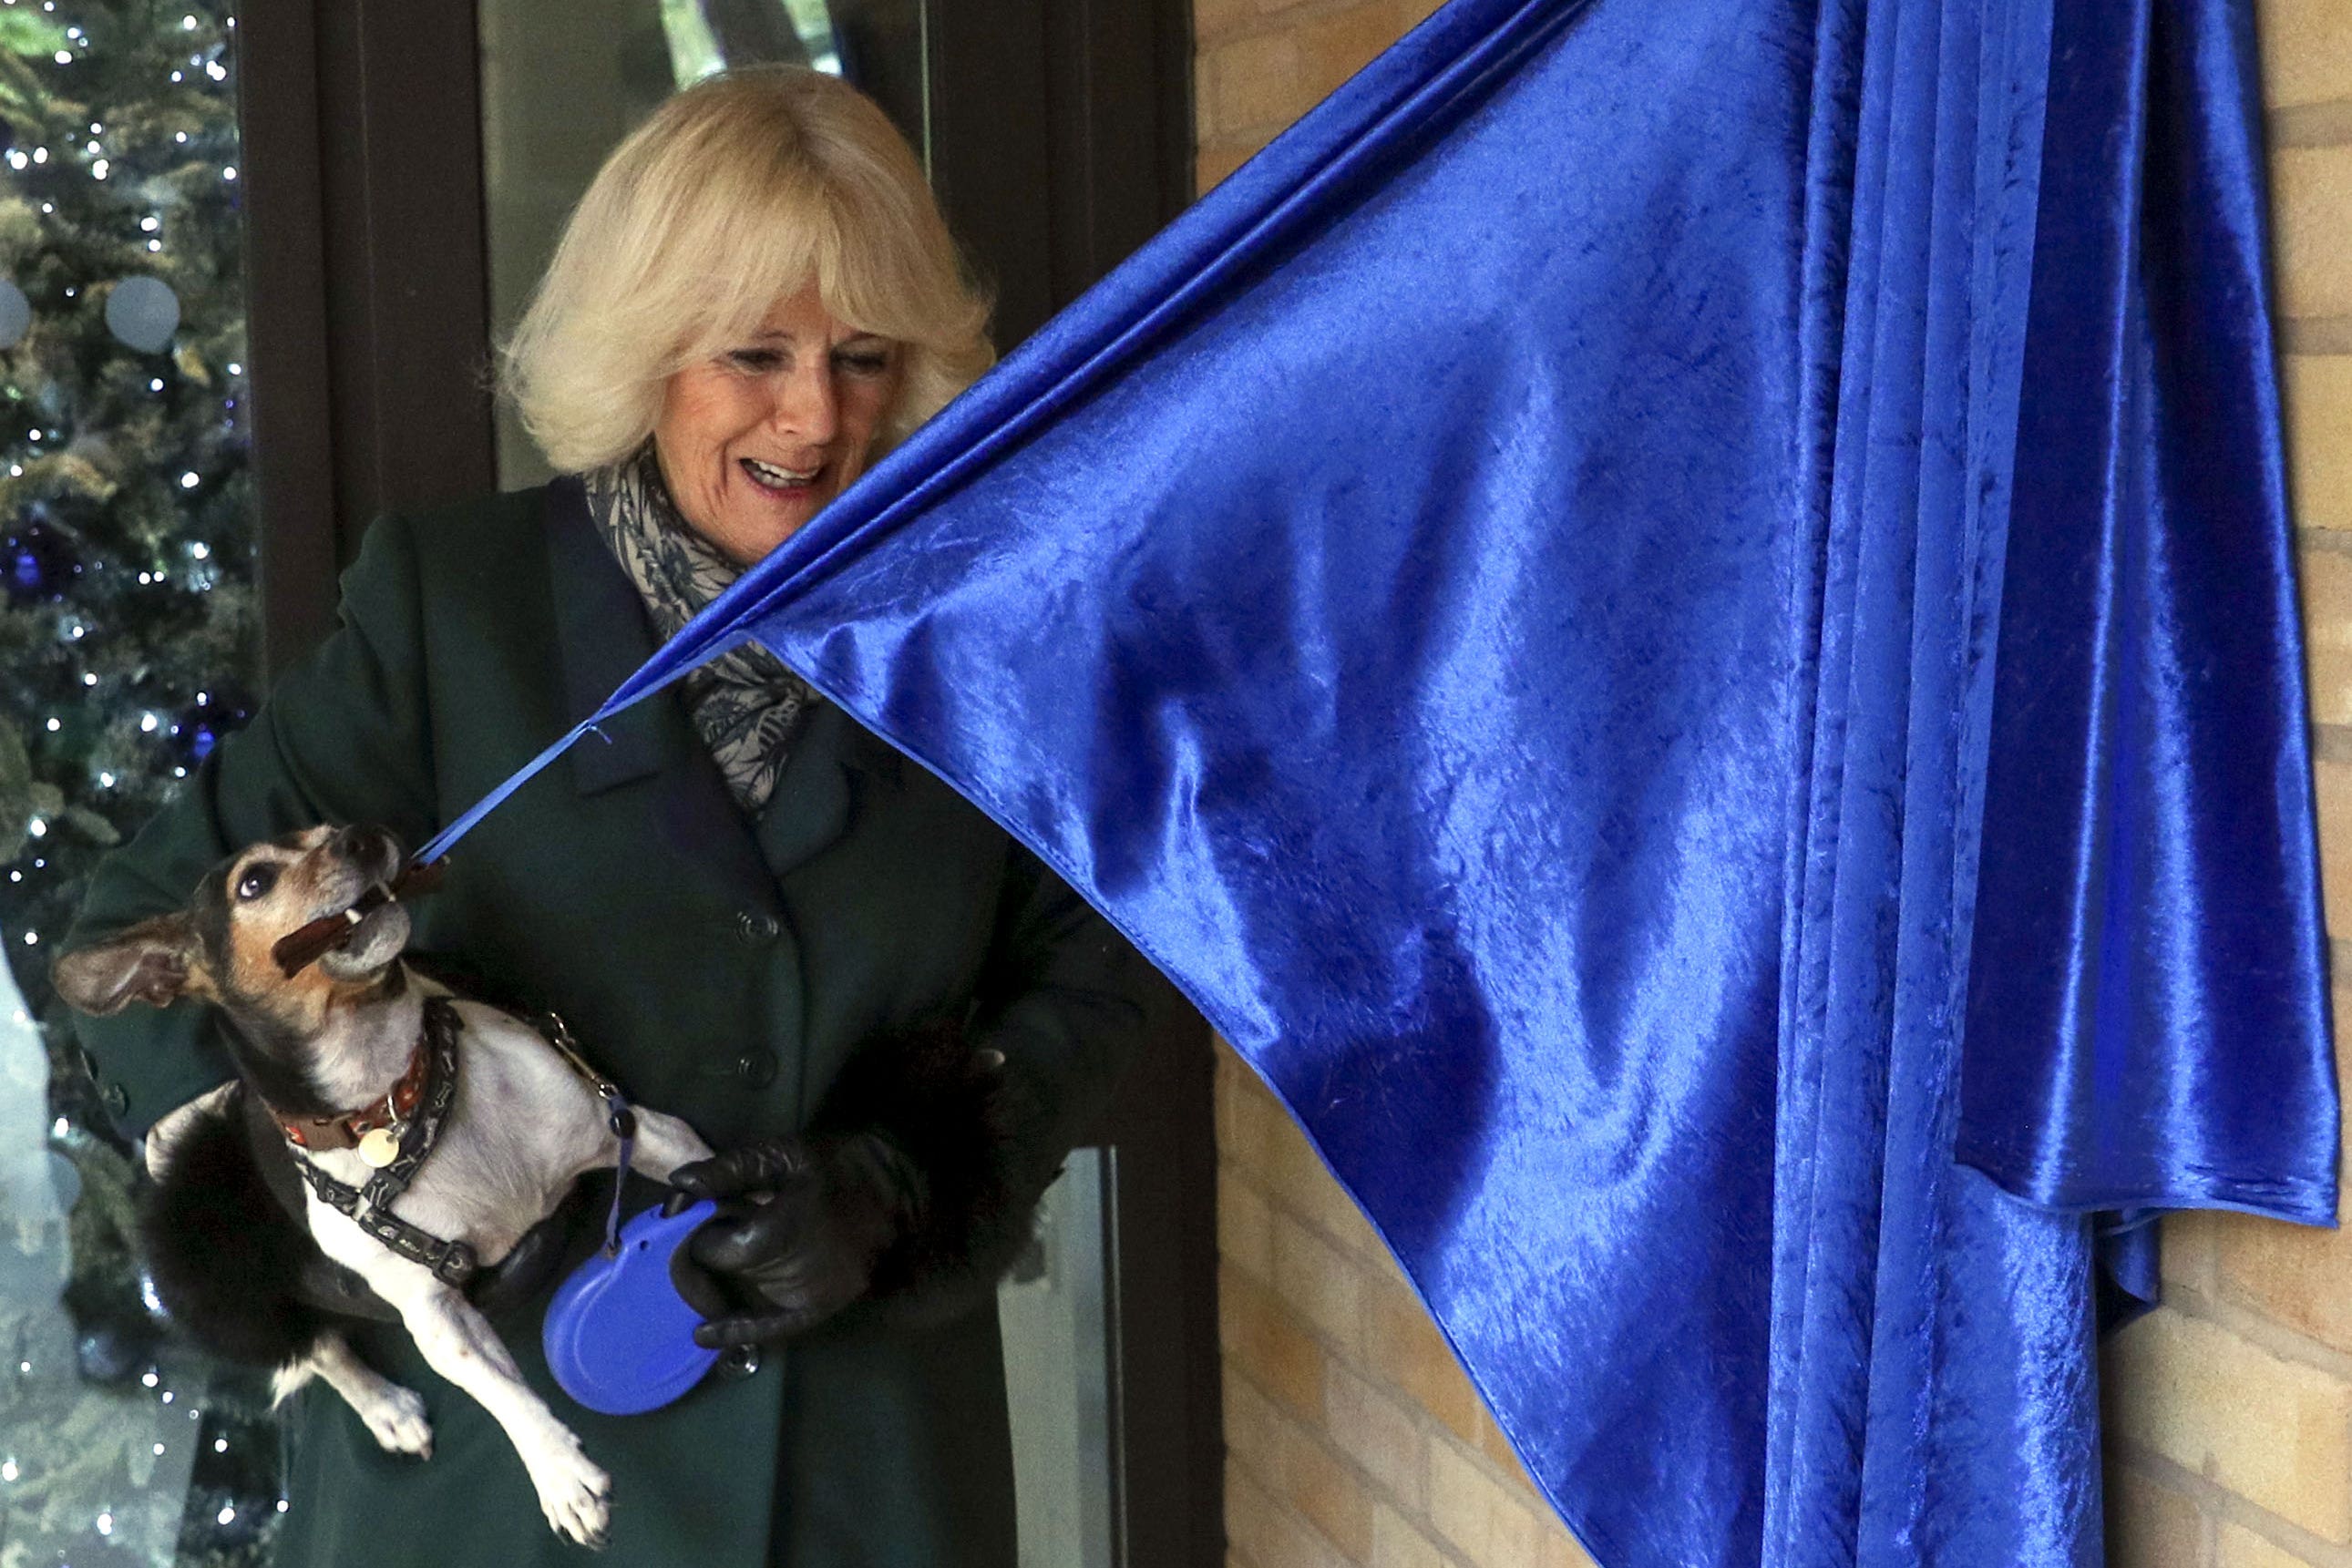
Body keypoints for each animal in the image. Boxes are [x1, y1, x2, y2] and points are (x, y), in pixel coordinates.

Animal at [50, 827, 701, 1551]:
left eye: (326, 829)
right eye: (254, 882)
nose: (361, 836)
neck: (394, 1099)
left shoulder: (639, 1131)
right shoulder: (434, 1315)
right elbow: (503, 1395)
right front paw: (559, 1472)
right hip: (213, 1280)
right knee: (315, 1346)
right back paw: (385, 1407)